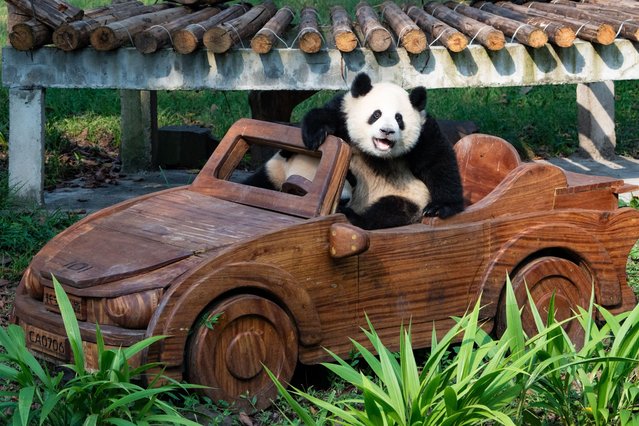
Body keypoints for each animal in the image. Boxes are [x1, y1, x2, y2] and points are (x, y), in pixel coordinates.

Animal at [302, 71, 462, 230]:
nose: (387, 131)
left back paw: (354, 217)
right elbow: (324, 114)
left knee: (391, 211)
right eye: (376, 114)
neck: (378, 155)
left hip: (410, 195)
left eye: (398, 118)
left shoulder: (424, 134)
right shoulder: (343, 112)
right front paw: (316, 136)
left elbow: (438, 162)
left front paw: (439, 207)